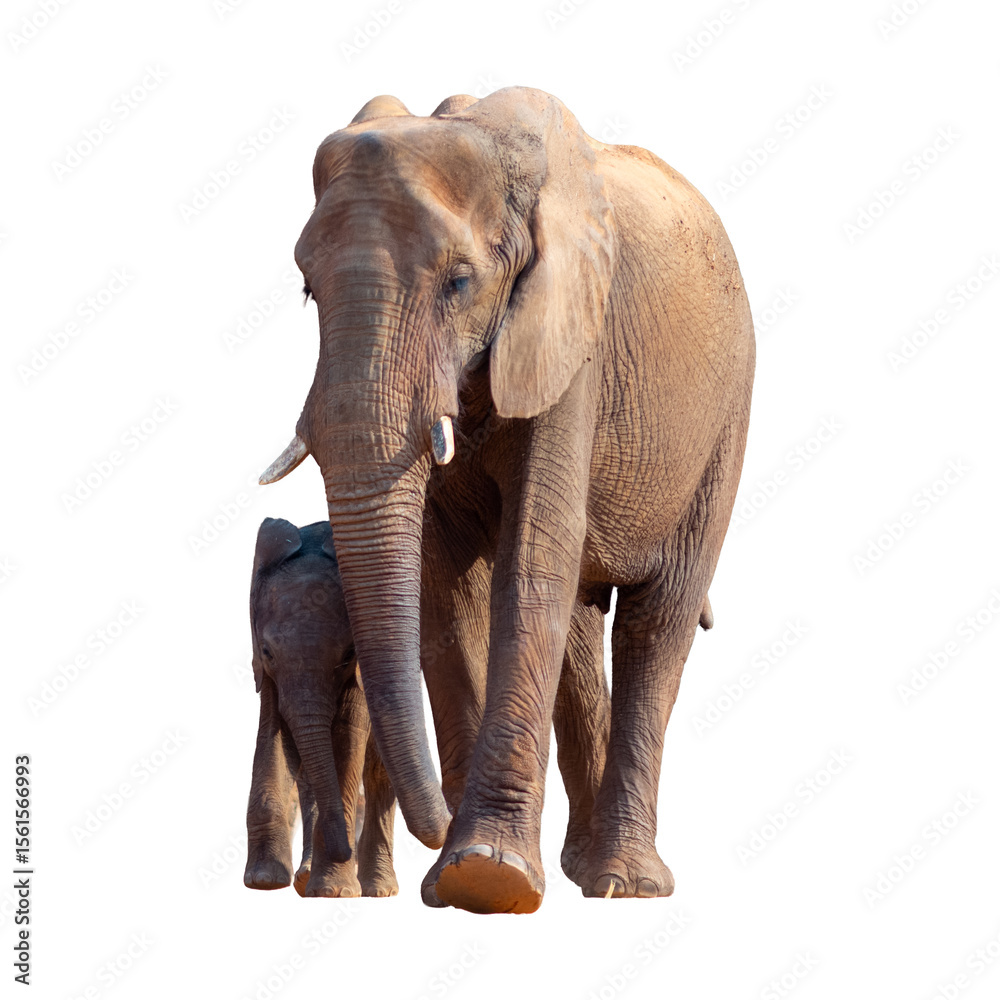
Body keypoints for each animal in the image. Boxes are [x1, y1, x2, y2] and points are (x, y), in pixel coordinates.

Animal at [244, 517, 398, 897]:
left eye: (347, 654)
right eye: (268, 651)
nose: (345, 851)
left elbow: (348, 733)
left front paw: (334, 891)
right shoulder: (266, 671)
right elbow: (273, 733)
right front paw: (264, 880)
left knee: (379, 768)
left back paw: (377, 888)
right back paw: (305, 878)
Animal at [260, 87, 755, 913]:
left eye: (460, 283)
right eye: (305, 288)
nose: (436, 821)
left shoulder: (573, 340)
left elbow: (528, 566)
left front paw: (489, 874)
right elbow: (443, 586)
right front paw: (459, 882)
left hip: (725, 418)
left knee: (657, 621)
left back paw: (627, 885)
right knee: (584, 629)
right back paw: (587, 874)